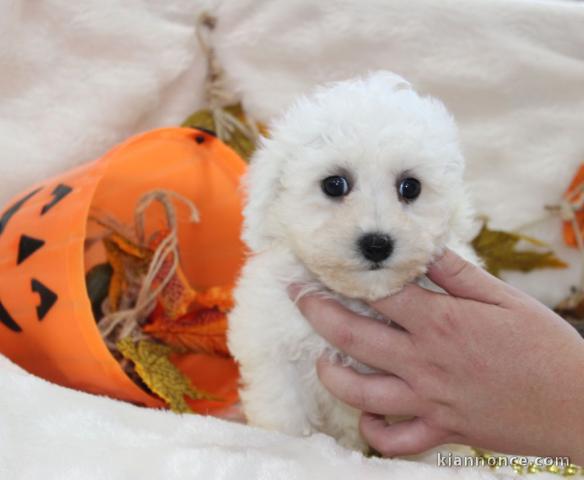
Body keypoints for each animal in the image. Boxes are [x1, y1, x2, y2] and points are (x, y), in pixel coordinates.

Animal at [226, 71, 476, 450]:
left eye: (411, 187)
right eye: (334, 184)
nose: (376, 244)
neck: (356, 299)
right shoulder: (274, 348)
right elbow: (284, 412)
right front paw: (286, 446)